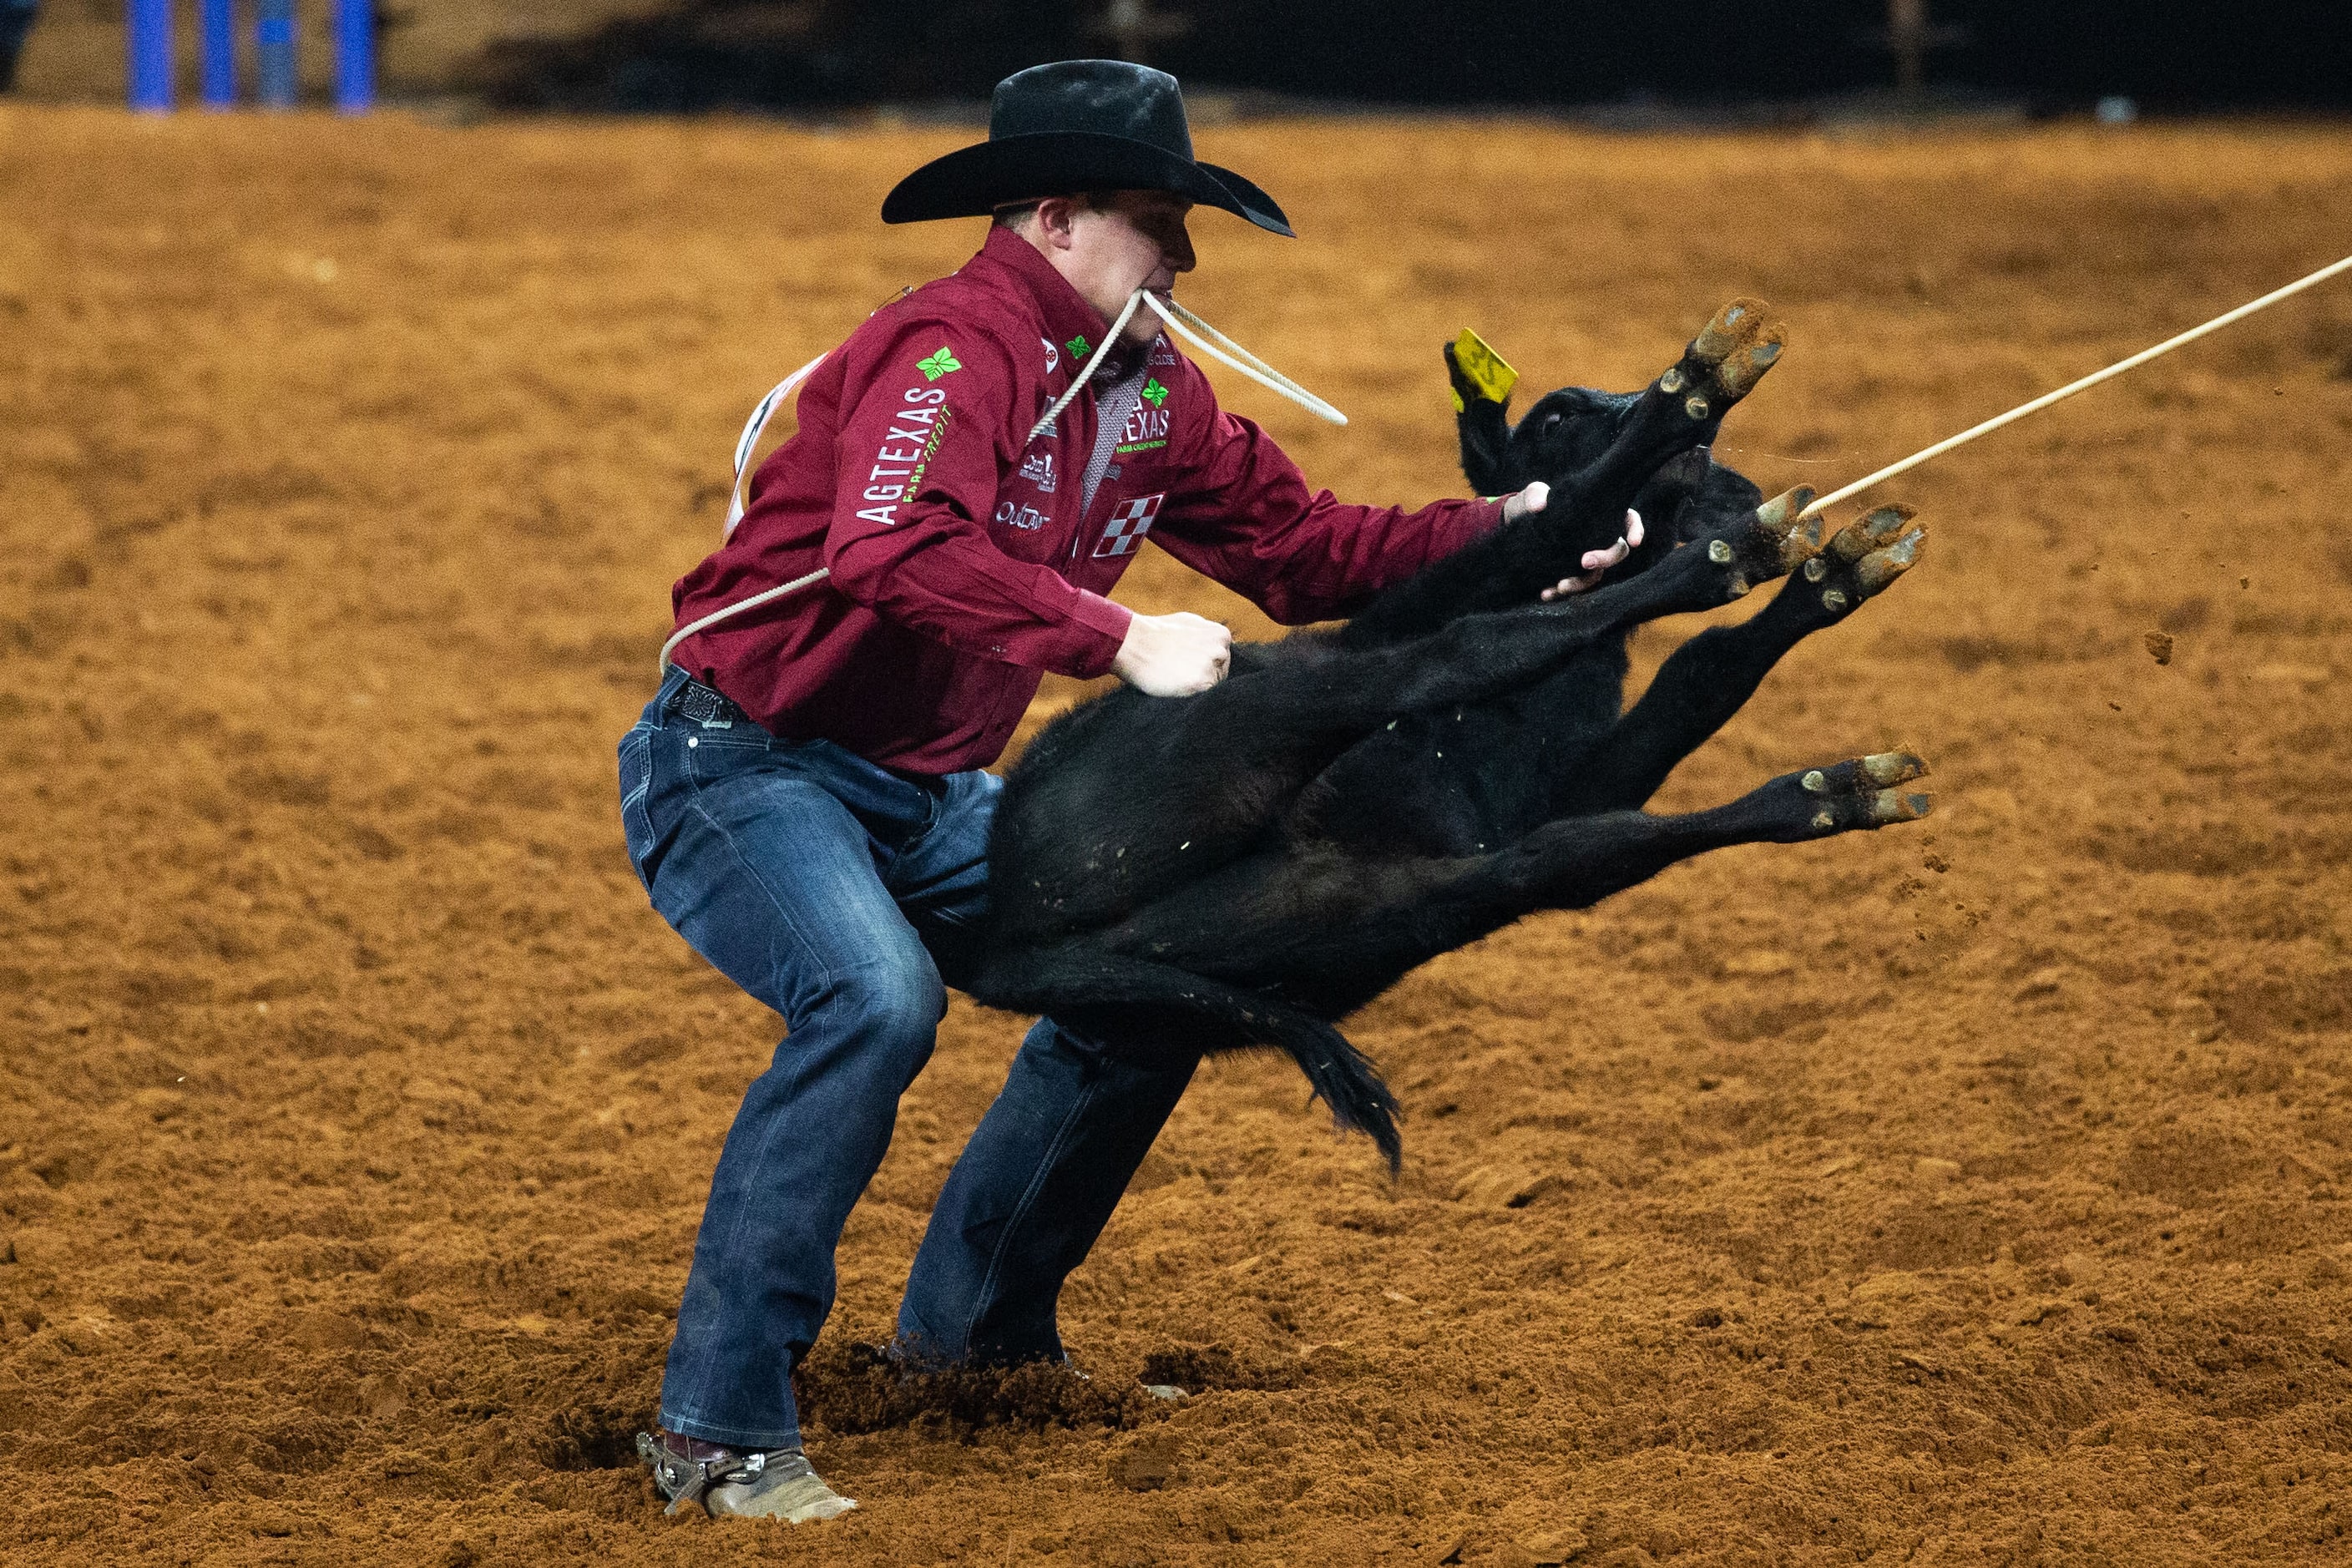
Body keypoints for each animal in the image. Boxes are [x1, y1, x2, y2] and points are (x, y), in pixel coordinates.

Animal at [959, 303, 1928, 1166]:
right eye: (1557, 414)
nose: (1715, 471)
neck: (1528, 715)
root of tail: (998, 939)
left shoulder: (1566, 787)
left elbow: (1693, 681)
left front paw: (1828, 580)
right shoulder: (1437, 603)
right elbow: (1542, 545)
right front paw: (1693, 405)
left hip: (1356, 914)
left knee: (1566, 861)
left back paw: (1835, 788)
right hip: (1260, 717)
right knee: (1456, 655)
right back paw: (1723, 529)